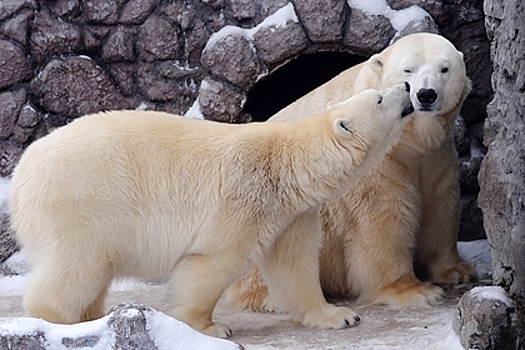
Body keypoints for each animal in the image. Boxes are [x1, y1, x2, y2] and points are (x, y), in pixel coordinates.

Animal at [6, 83, 412, 338]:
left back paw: (92, 314)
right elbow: (213, 263)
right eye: (379, 98)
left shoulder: (291, 214)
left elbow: (295, 267)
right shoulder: (243, 198)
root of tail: (21, 176)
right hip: (81, 203)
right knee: (78, 266)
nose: (407, 88)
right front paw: (208, 327)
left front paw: (338, 315)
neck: (285, 166)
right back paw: (60, 320)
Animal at [225, 33, 478, 312]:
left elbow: (440, 205)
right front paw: (414, 291)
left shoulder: (436, 156)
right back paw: (271, 298)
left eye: (445, 69)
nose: (426, 94)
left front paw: (457, 271)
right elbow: (383, 217)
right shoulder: (374, 162)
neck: (409, 141)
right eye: (408, 70)